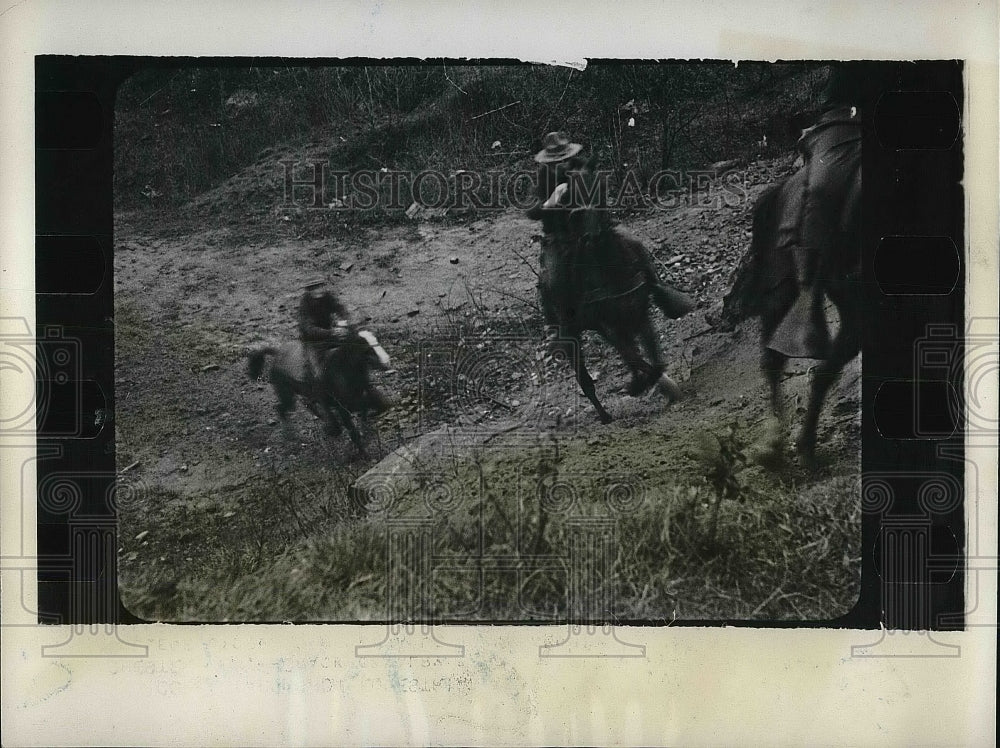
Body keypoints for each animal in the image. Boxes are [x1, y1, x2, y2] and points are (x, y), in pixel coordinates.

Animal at [246, 328, 390, 456]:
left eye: (377, 341)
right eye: (366, 349)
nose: (386, 362)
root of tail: (277, 352)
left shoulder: (359, 394)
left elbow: (374, 404)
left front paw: (366, 430)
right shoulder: (340, 403)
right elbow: (350, 425)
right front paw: (362, 449)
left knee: (307, 403)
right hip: (285, 391)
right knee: (281, 408)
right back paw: (291, 435)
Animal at [532, 172, 696, 424]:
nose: (593, 235)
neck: (613, 272)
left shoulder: (639, 314)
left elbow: (652, 360)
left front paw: (657, 384)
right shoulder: (609, 325)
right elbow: (637, 360)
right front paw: (641, 385)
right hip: (574, 334)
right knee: (587, 381)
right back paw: (605, 414)